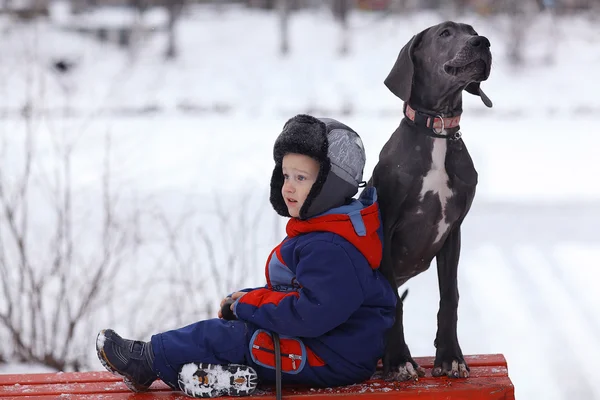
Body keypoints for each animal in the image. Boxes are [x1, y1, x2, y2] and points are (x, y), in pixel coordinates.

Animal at [368, 21, 494, 382]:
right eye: (445, 33)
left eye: (472, 30)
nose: (483, 42)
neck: (437, 129)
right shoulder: (385, 228)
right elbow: (393, 303)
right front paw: (399, 360)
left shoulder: (453, 231)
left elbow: (450, 296)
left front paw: (450, 357)